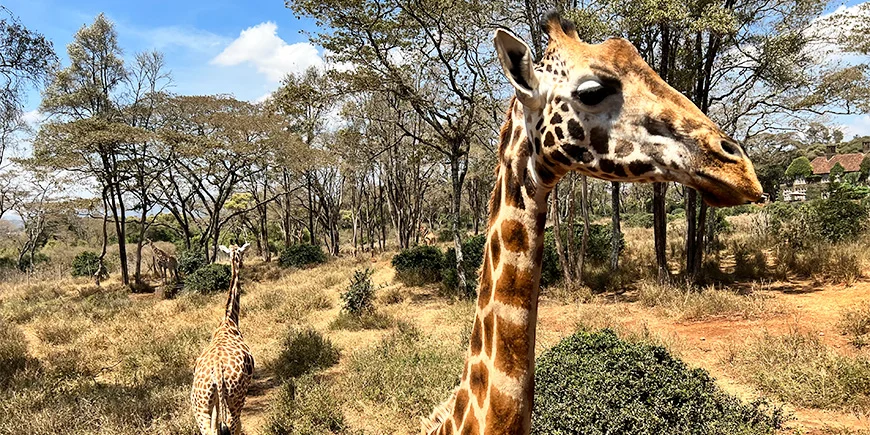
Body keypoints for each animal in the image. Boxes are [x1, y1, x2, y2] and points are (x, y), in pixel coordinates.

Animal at [191, 243, 255, 435]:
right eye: (242, 252)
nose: (242, 263)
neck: (229, 320)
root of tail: (218, 373)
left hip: (201, 404)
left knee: (209, 430)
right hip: (236, 398)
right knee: (234, 424)